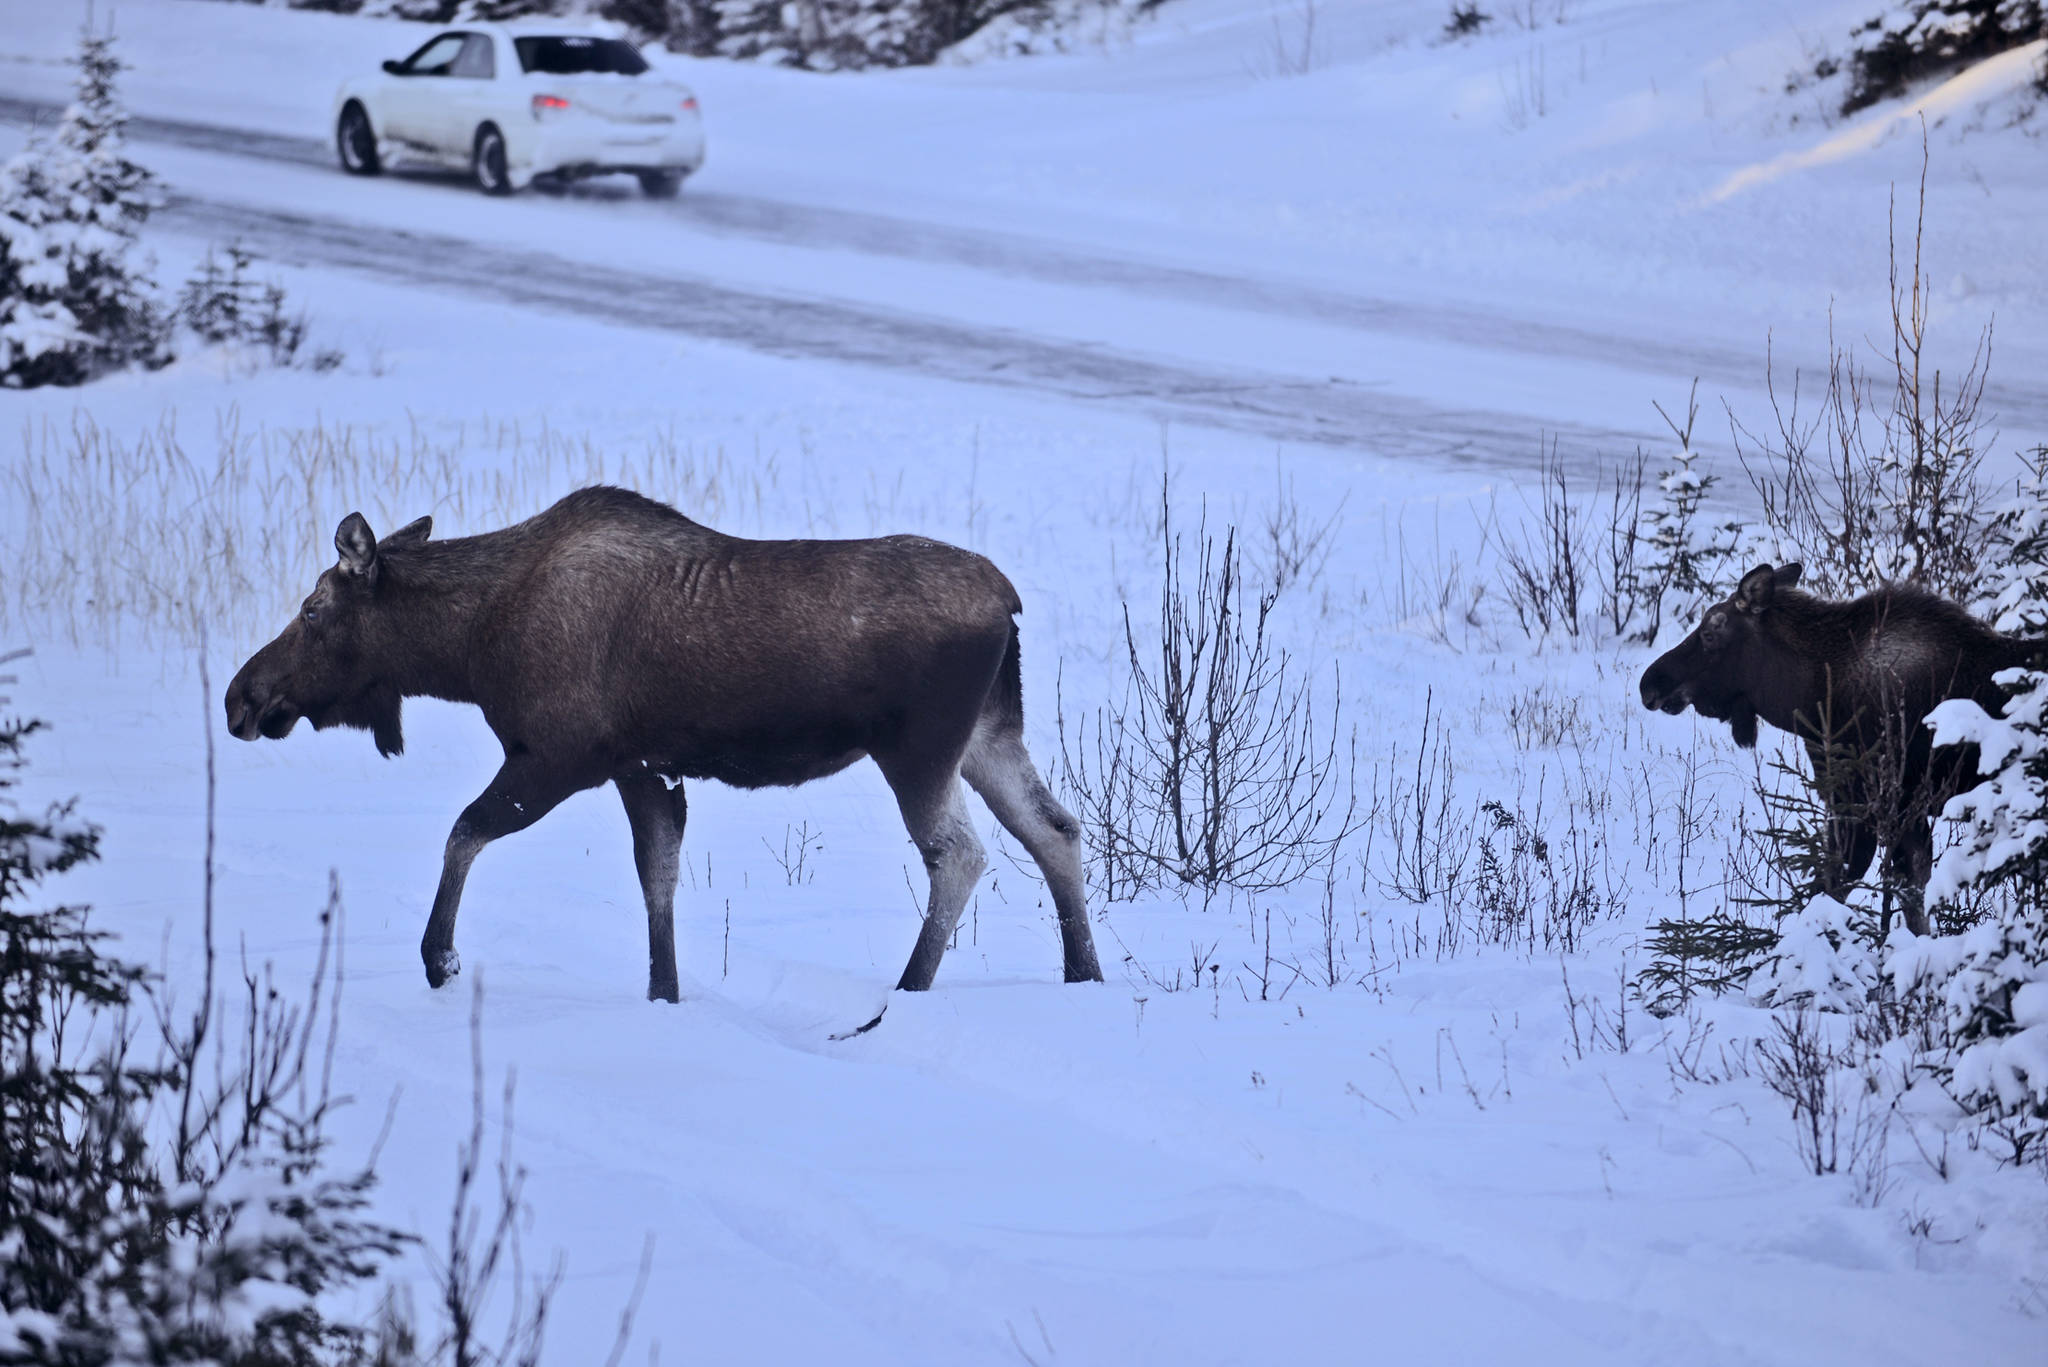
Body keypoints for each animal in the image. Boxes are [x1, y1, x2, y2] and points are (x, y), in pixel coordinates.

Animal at [224, 489, 1105, 1004]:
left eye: (311, 610)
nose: (241, 696)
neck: (467, 648)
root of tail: (1008, 601)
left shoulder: (556, 756)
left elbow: (463, 831)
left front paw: (439, 958)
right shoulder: (639, 767)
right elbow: (658, 875)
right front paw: (665, 992)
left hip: (918, 746)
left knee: (960, 852)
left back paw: (910, 988)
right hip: (988, 734)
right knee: (1055, 828)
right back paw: (1082, 973)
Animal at [1638, 561, 2039, 934]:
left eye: (1710, 632)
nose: (1649, 683)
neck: (1811, 697)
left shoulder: (1867, 802)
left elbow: (1834, 890)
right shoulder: (1895, 808)